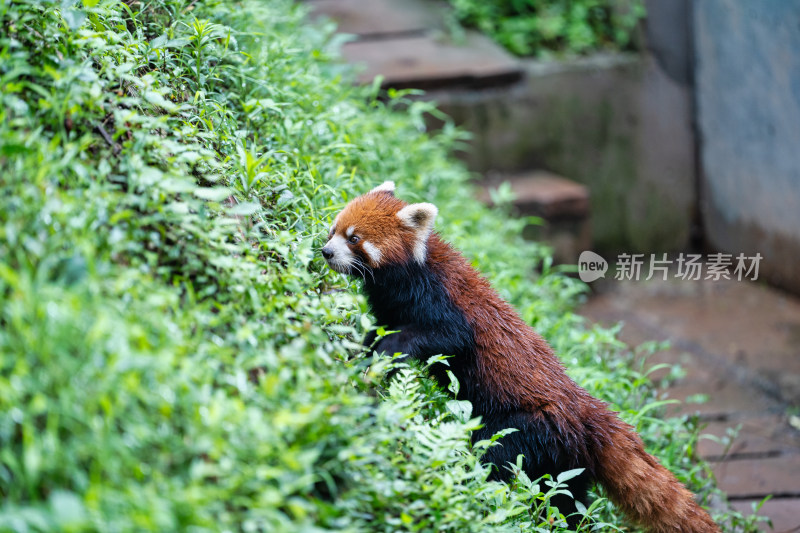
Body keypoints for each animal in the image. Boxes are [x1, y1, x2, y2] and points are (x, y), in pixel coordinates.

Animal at [322, 183, 720, 532]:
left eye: (354, 238)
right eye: (334, 229)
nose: (326, 251)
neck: (406, 276)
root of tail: (588, 413)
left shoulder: (441, 303)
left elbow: (443, 336)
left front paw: (387, 351)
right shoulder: (389, 307)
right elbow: (376, 333)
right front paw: (364, 355)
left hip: (527, 428)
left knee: (498, 459)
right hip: (564, 462)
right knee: (566, 498)